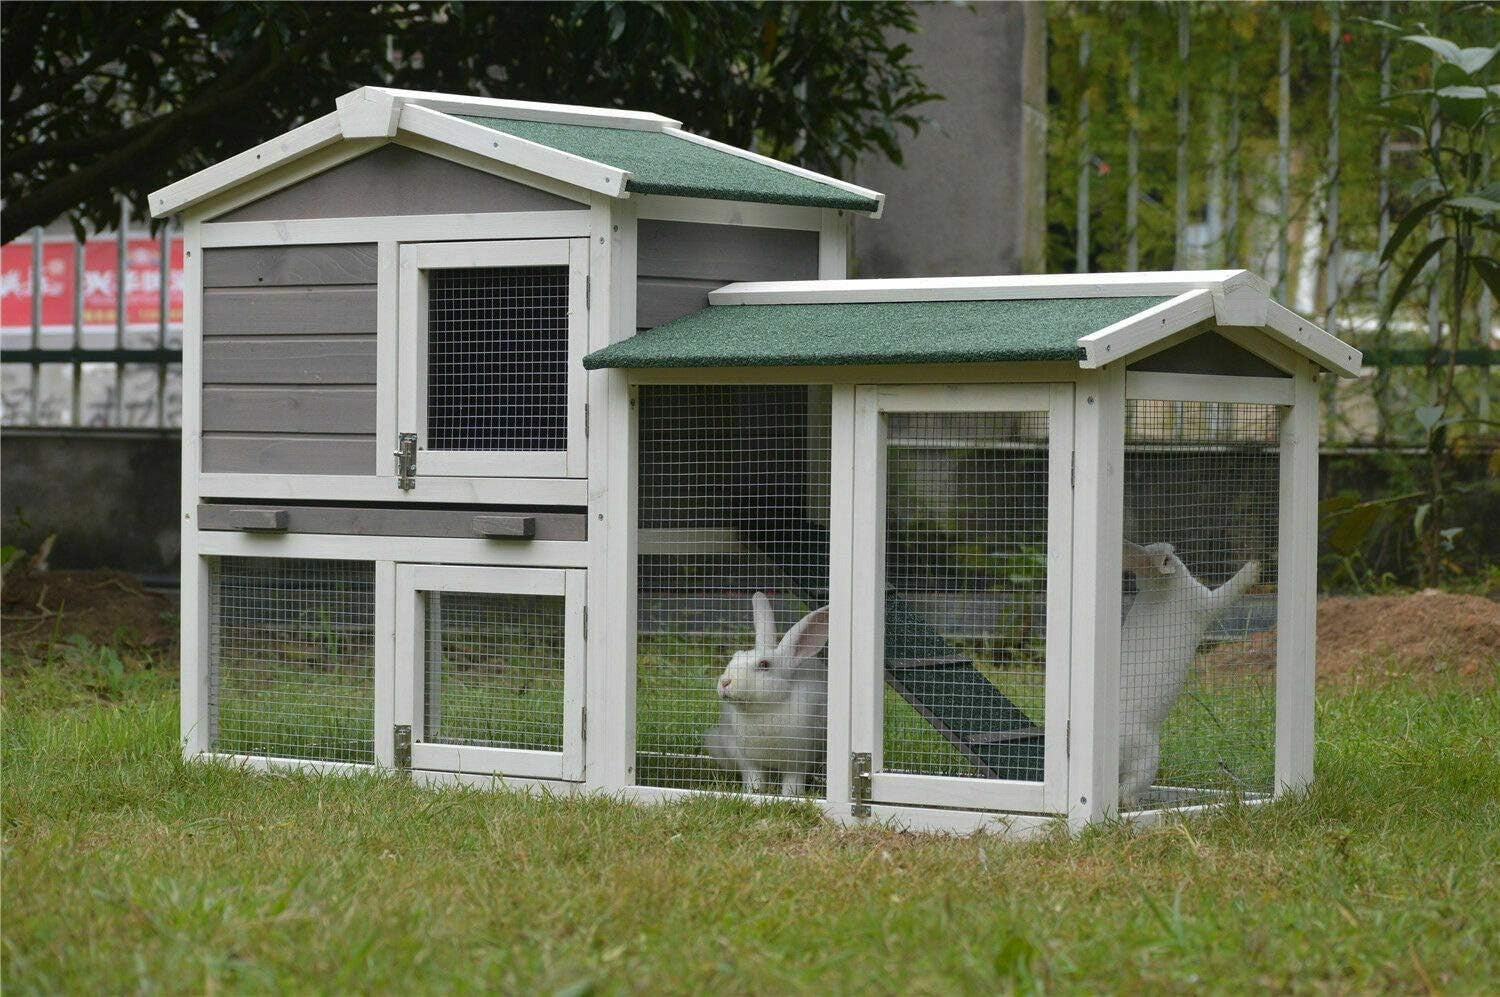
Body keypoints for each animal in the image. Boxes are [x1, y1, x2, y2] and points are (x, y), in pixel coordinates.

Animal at [703, 592, 829, 796]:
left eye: (764, 664)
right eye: (735, 656)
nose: (725, 682)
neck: (763, 710)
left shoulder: (799, 758)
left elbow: (792, 780)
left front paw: (790, 796)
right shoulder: (747, 759)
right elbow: (754, 778)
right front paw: (752, 792)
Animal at [1118, 541, 1260, 808]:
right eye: (1168, 555)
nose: (1172, 548)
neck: (1160, 585)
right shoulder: (1205, 602)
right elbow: (1228, 591)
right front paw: (1255, 567)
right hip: (1146, 756)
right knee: (1127, 792)